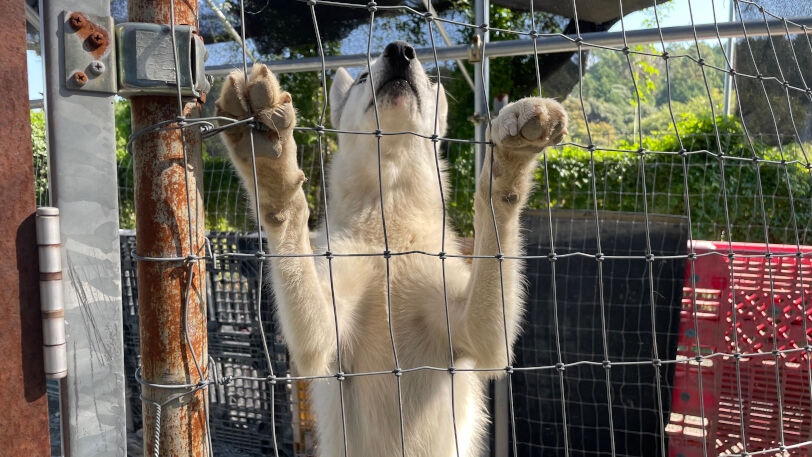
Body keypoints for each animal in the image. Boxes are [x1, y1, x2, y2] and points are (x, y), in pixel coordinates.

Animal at [219, 41, 568, 454]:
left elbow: (492, 205)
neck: (390, 229)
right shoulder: (319, 342)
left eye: (426, 78)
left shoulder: (485, 340)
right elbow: (287, 214)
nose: (400, 50)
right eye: (363, 77)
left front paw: (509, 159)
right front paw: (270, 167)